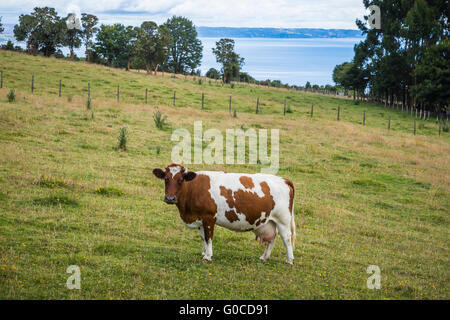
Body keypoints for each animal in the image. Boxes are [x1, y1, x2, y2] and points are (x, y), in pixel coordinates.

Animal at [153, 164, 298, 264]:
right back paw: (264, 257)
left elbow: (209, 237)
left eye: (181, 180)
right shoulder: (200, 220)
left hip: (283, 219)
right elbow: (203, 237)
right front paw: (204, 253)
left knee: (287, 238)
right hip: (270, 221)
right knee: (272, 238)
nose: (170, 198)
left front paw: (208, 257)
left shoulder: (209, 217)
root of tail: (283, 179)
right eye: (166, 179)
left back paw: (289, 260)